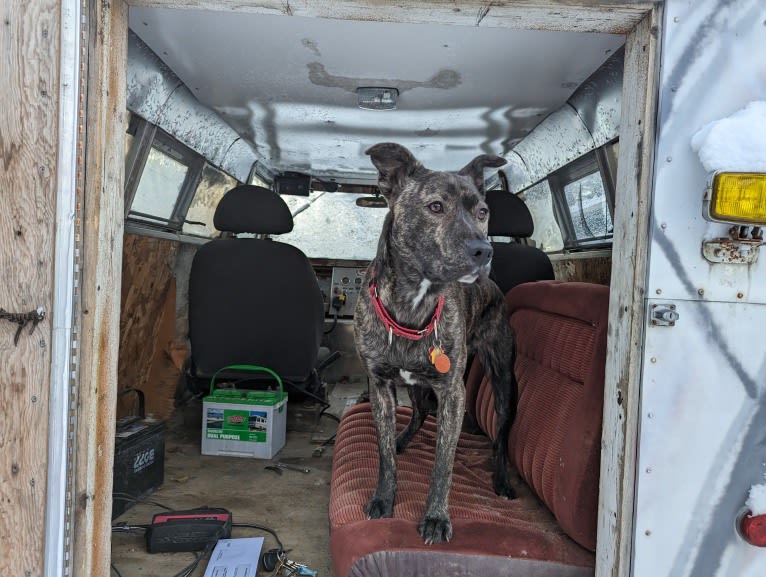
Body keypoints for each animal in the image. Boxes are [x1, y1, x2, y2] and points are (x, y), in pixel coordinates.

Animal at [356, 142, 520, 544]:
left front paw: (435, 517)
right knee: (419, 412)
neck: (415, 303)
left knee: (500, 438)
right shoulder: (380, 384)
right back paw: (403, 438)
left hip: (503, 379)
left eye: (482, 212)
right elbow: (384, 454)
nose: (484, 251)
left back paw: (502, 481)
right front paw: (384, 497)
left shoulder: (452, 392)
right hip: (416, 385)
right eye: (435, 207)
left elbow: (443, 463)